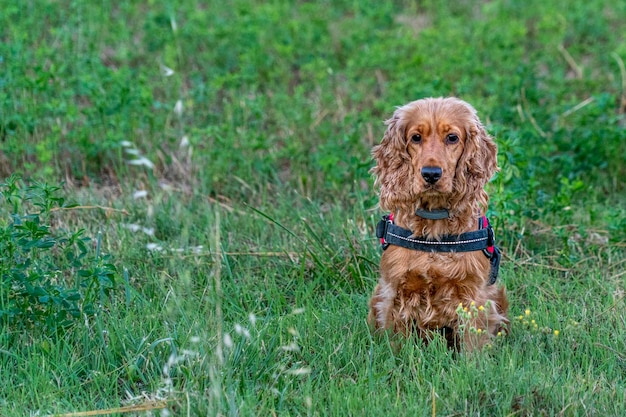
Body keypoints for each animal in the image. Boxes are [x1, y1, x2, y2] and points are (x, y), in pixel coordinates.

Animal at [366, 96, 508, 348]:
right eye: (416, 137)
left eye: (452, 137)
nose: (431, 174)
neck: (435, 226)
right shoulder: (394, 292)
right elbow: (397, 345)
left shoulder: (474, 295)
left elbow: (472, 345)